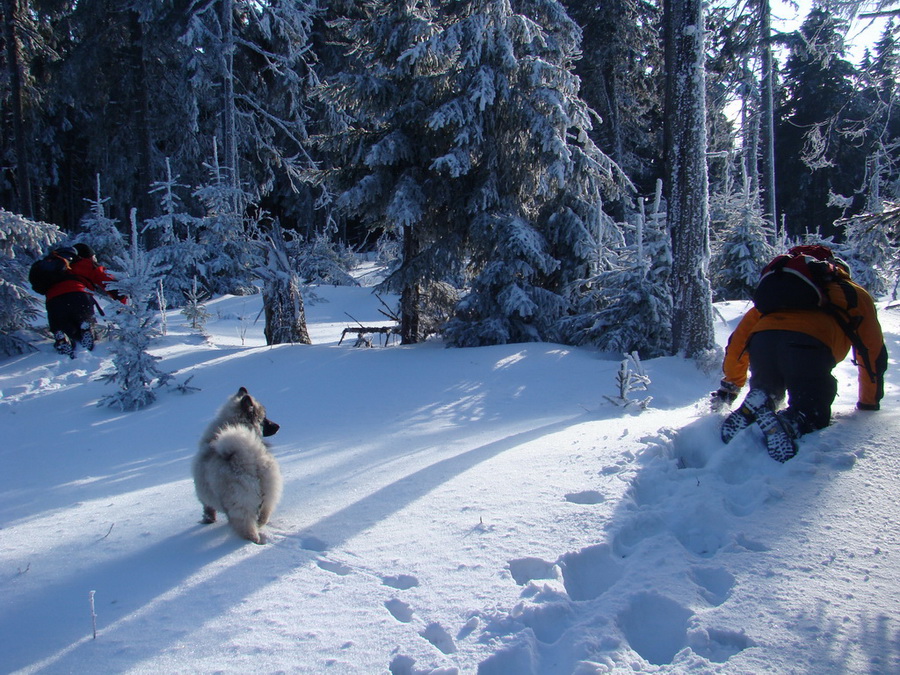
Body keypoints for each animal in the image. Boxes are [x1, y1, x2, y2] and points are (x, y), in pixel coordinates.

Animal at [192, 388, 282, 540]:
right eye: (265, 419)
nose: (278, 426)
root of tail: (250, 459)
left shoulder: (204, 498)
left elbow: (208, 511)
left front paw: (207, 521)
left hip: (238, 505)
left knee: (246, 526)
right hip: (268, 496)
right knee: (263, 516)